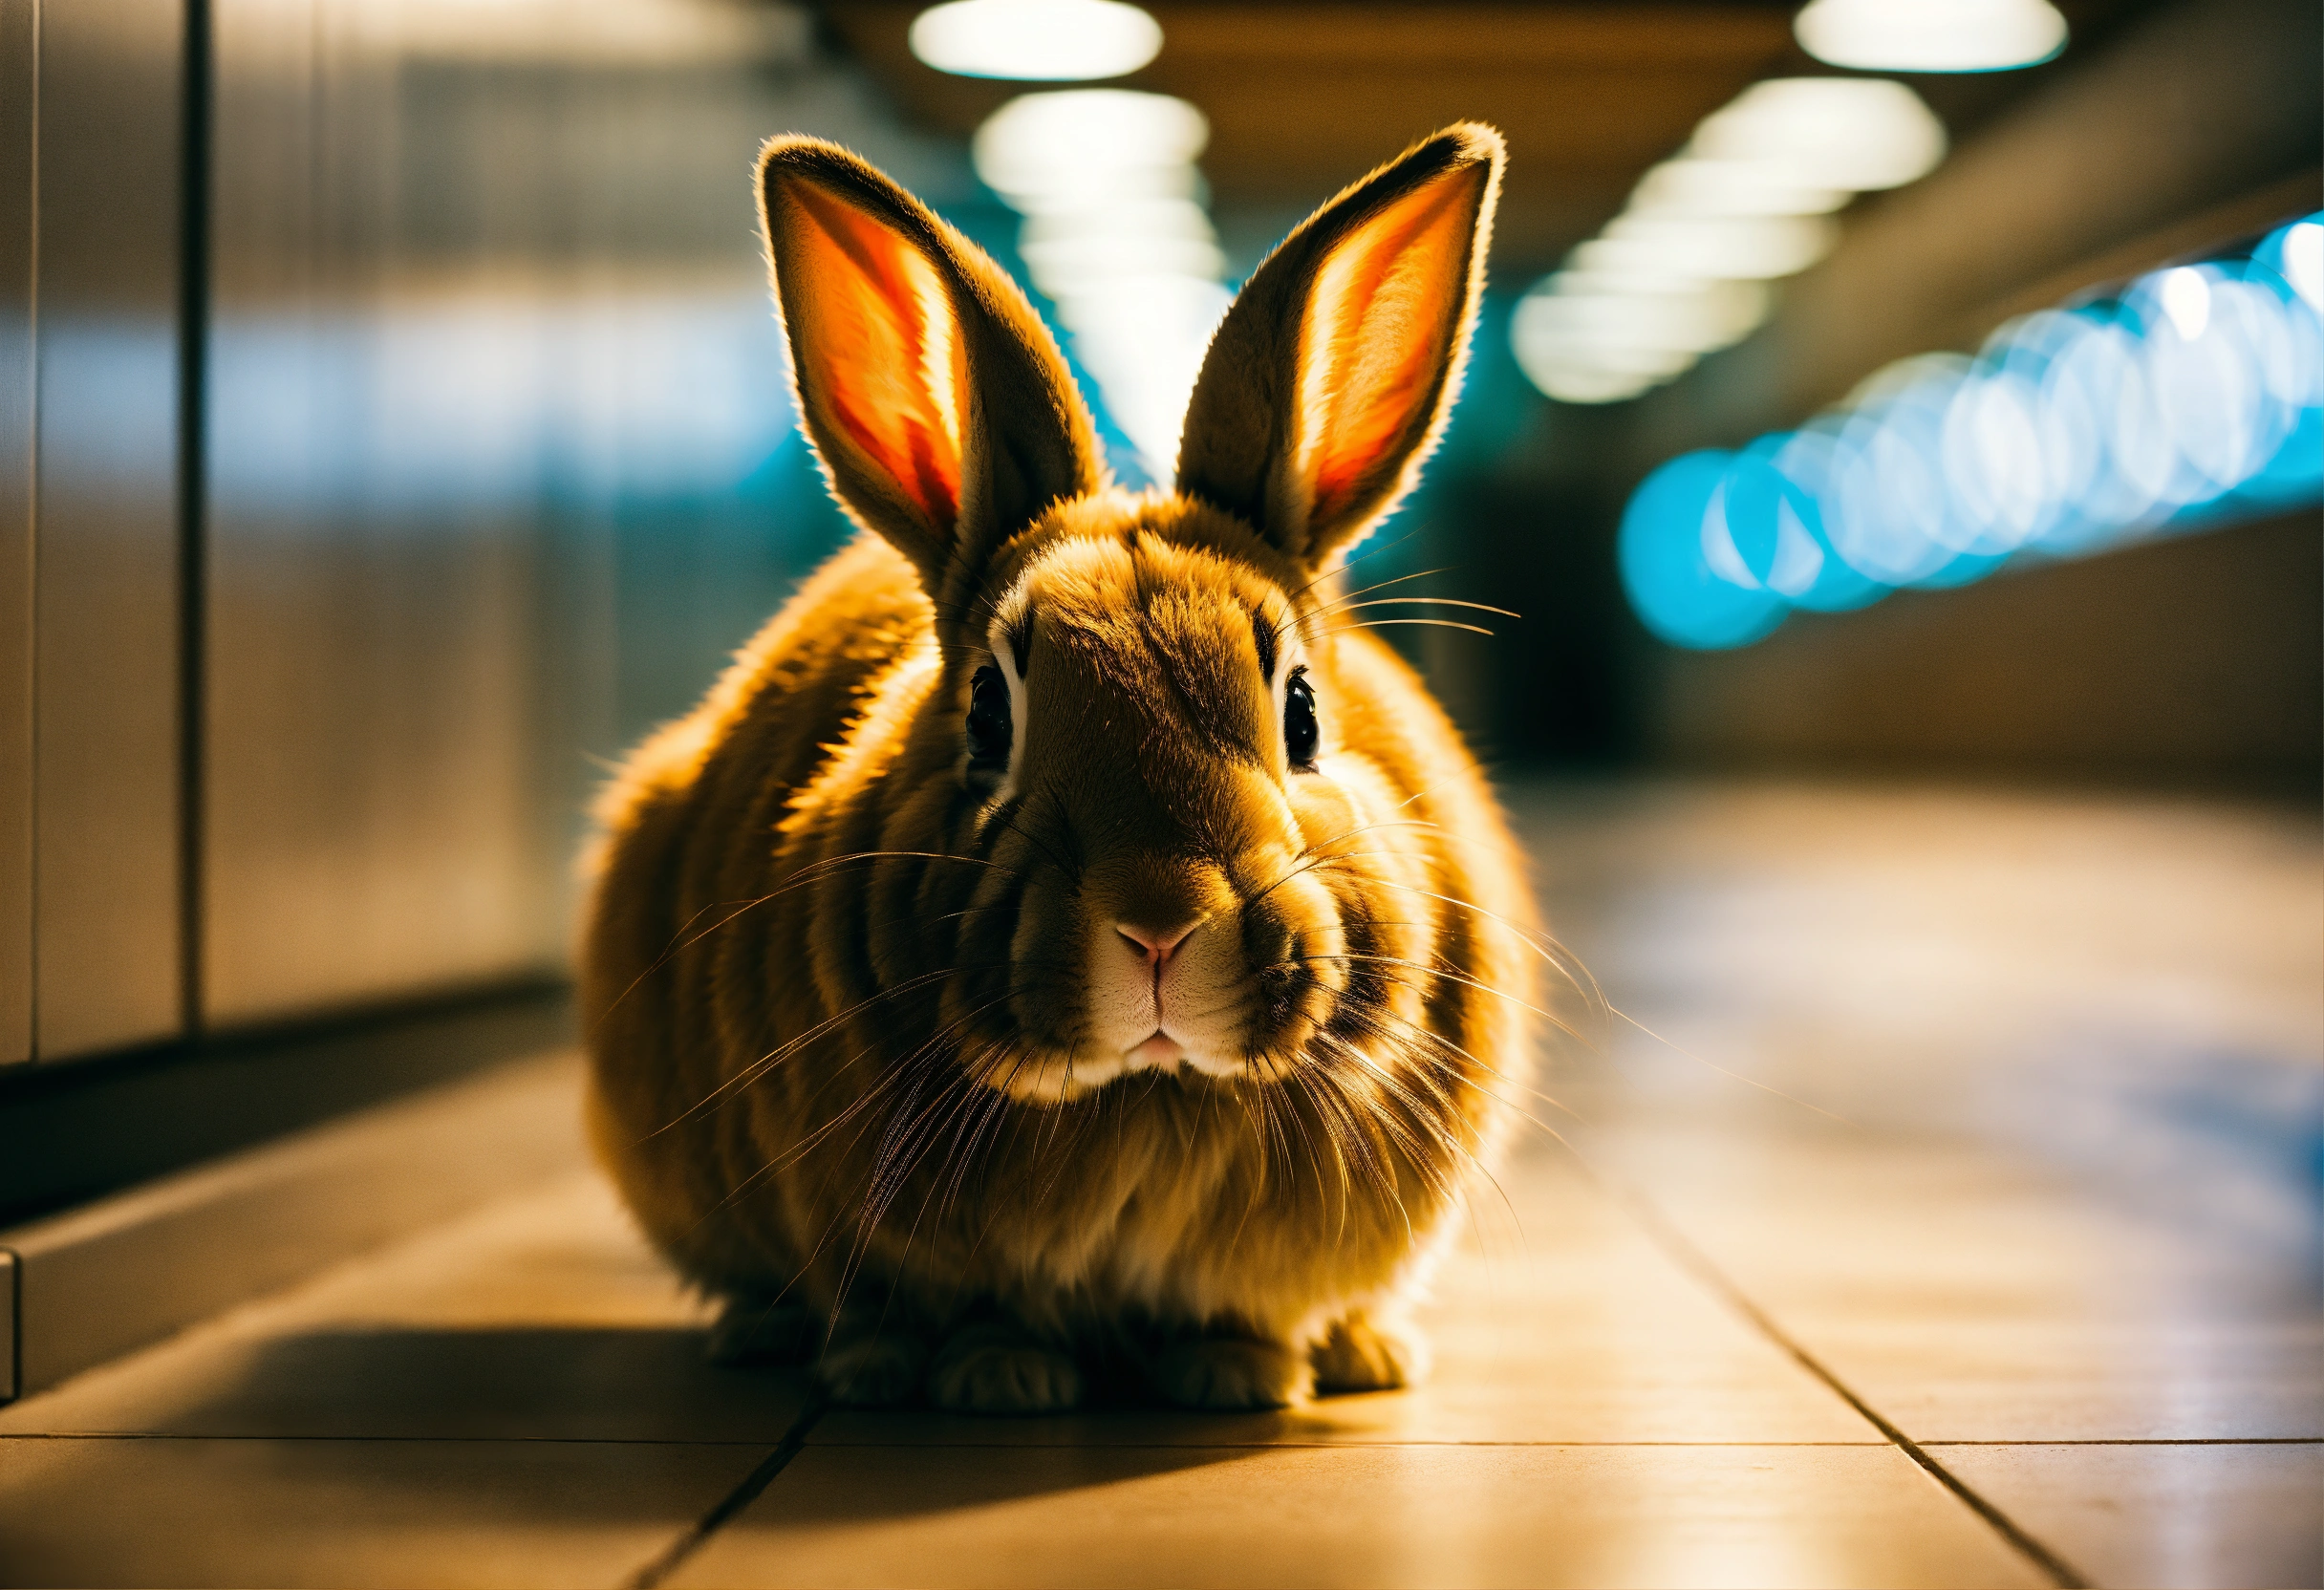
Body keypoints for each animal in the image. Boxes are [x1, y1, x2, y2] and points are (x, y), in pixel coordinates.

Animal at [582, 122, 1539, 1415]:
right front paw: (996, 1377)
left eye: (1299, 712)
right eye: (988, 712)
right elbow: (964, 1303)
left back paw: (1362, 1354)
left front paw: (1236, 1375)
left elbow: (1244, 1310)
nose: (1159, 927)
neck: (1149, 1097)